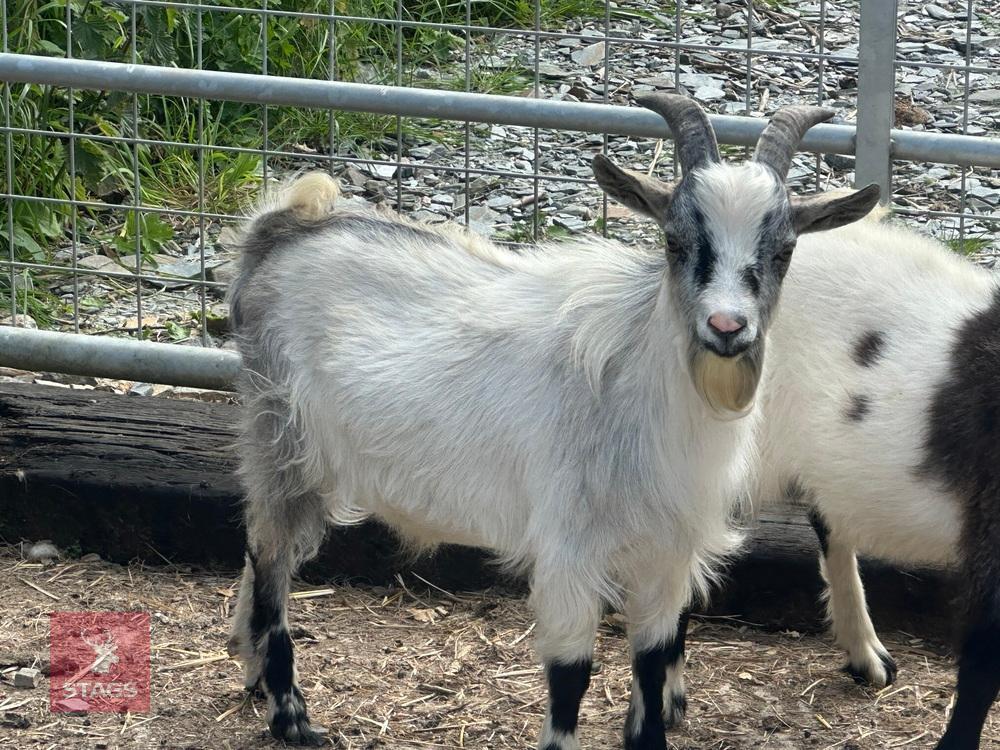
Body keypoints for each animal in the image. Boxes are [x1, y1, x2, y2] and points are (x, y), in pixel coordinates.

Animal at [224, 94, 879, 749]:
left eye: (784, 251)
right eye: (675, 241)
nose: (727, 326)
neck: (638, 397)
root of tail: (283, 227)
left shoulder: (668, 554)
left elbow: (653, 661)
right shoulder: (568, 547)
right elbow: (571, 675)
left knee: (261, 555)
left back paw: (250, 668)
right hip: (283, 437)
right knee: (269, 558)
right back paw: (289, 714)